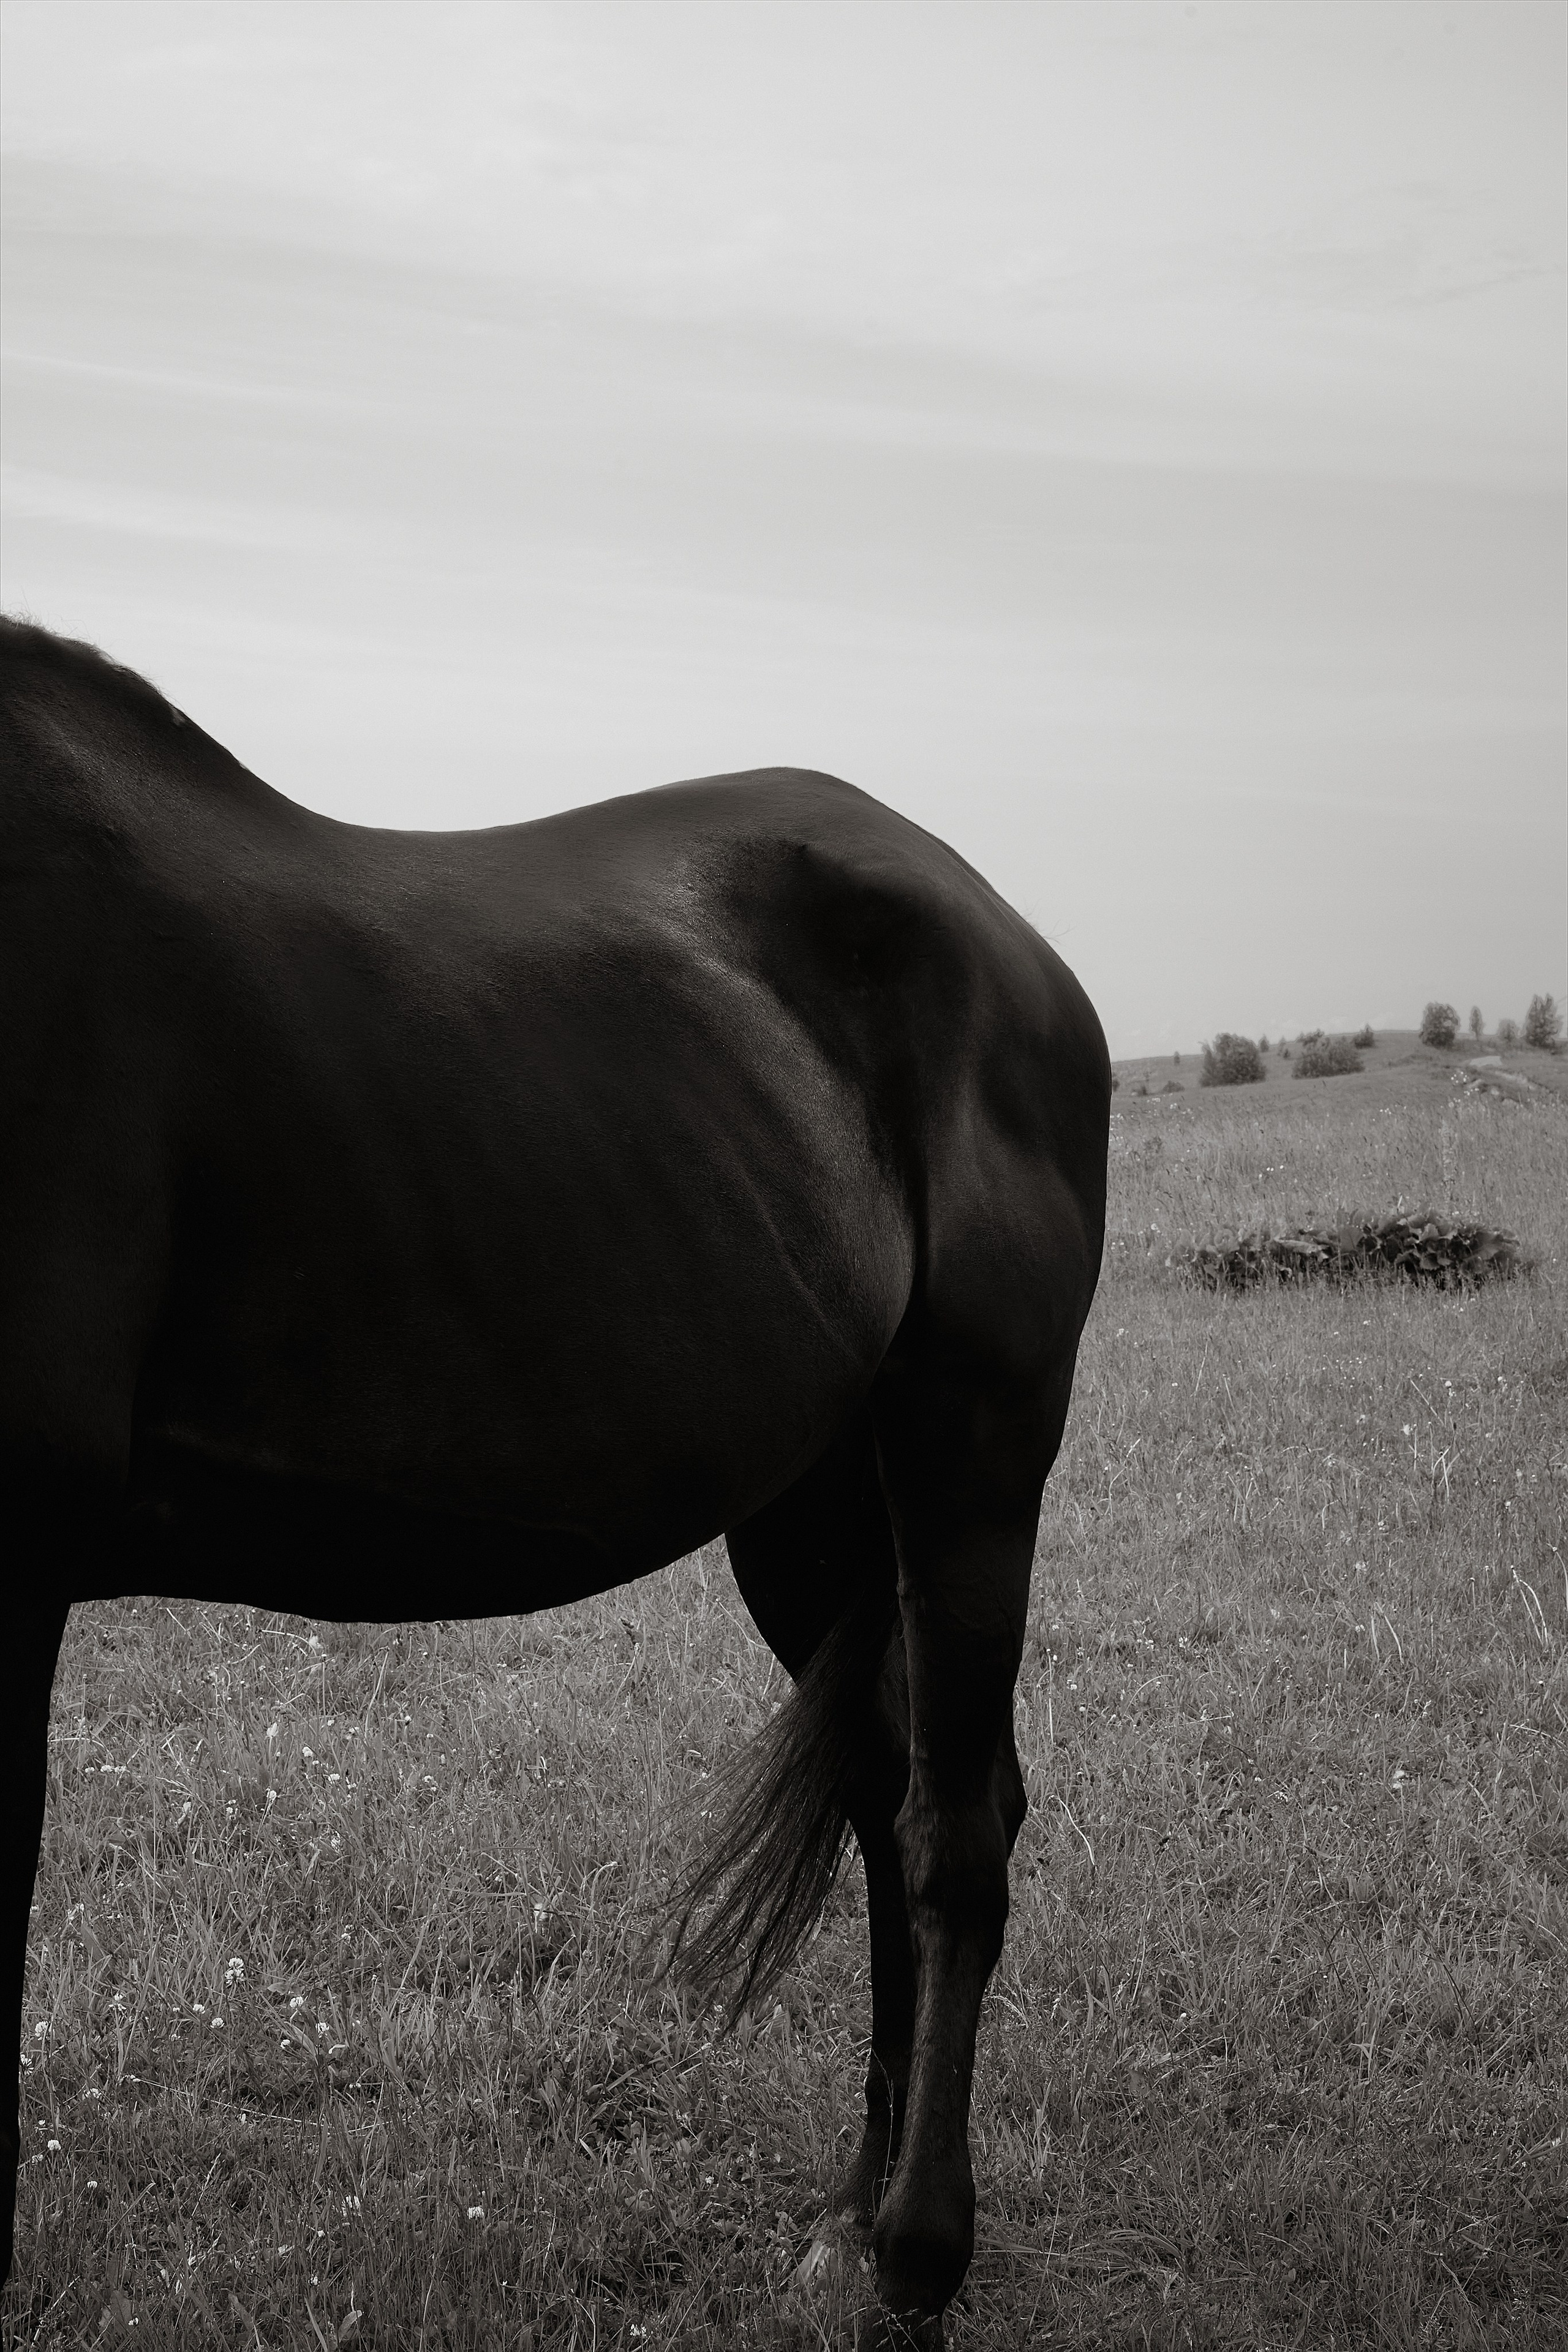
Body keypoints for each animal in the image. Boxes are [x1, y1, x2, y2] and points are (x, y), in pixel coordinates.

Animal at [0, 615, 1109, 2346]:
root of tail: (1004, 938)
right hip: (815, 1513)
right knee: (883, 1798)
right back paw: (846, 2221)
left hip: (969, 1456)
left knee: (955, 1828)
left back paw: (916, 2257)